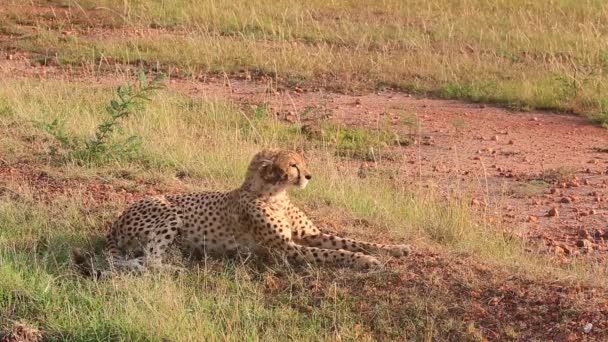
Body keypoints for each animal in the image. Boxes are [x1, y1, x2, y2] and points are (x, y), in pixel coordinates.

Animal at [100, 148, 410, 272]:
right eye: (293, 165)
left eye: (302, 162)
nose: (310, 176)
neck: (275, 195)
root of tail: (117, 220)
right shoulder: (285, 249)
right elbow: (335, 253)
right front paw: (365, 261)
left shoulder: (309, 235)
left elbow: (351, 241)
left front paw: (396, 248)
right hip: (168, 212)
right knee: (149, 260)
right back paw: (175, 269)